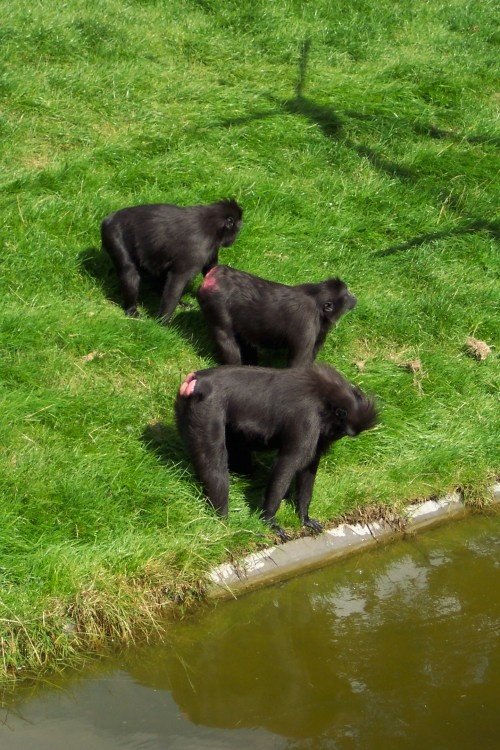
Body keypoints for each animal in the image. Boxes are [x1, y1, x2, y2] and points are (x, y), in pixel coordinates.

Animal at [101, 199, 243, 322]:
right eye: (237, 228)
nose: (234, 239)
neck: (211, 222)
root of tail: (108, 219)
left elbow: (211, 270)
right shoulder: (197, 249)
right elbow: (177, 281)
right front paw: (162, 322)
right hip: (112, 234)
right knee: (129, 271)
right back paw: (131, 308)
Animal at [175, 364, 377, 540]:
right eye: (341, 431)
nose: (332, 437)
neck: (324, 396)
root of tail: (197, 381)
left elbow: (309, 467)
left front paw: (304, 516)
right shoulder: (307, 420)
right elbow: (287, 466)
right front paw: (269, 520)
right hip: (205, 412)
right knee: (214, 468)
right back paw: (225, 522)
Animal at [197, 265, 356, 366]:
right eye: (347, 294)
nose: (354, 298)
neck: (316, 299)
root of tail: (214, 276)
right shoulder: (307, 323)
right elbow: (298, 364)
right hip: (216, 303)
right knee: (226, 338)